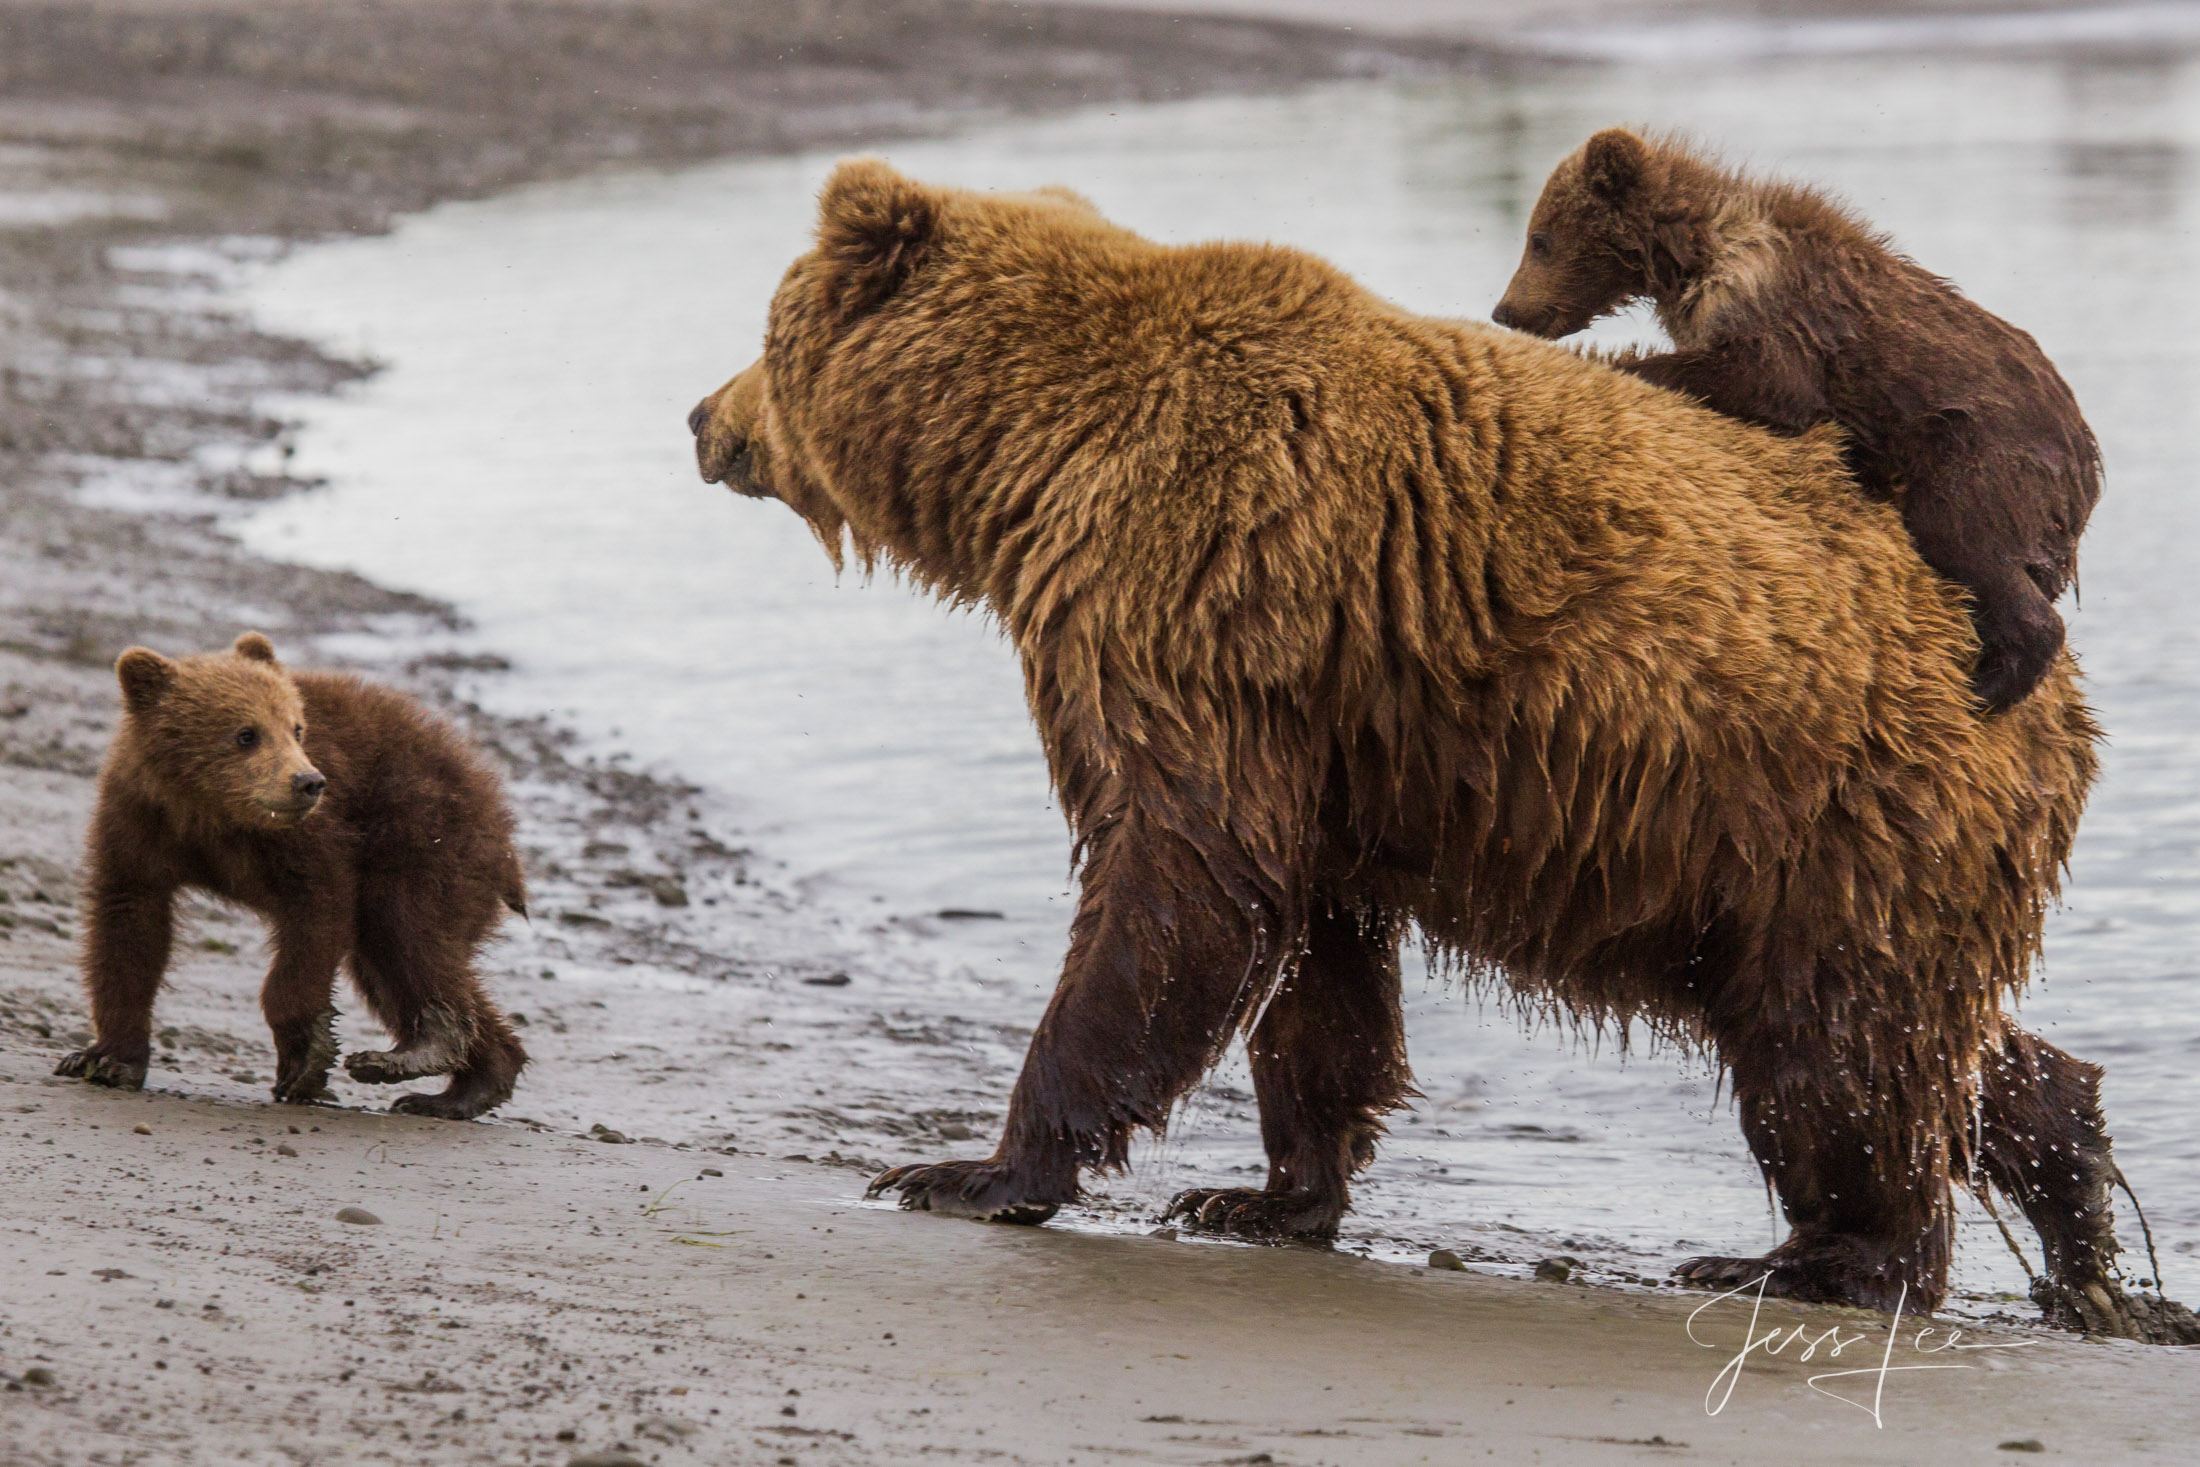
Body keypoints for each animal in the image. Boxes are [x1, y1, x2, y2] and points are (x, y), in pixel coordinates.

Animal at [690, 158, 2164, 1328]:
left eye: (766, 327)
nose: (704, 418)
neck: (1035, 458)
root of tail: (2064, 706)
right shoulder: (1323, 724)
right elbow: (1314, 960)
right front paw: (1259, 1193)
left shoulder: (1190, 600)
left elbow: (1173, 880)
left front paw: (966, 1167)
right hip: (1788, 869)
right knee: (1929, 1034)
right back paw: (2076, 1195)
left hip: (1831, 800)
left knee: (1840, 1054)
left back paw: (1818, 1260)